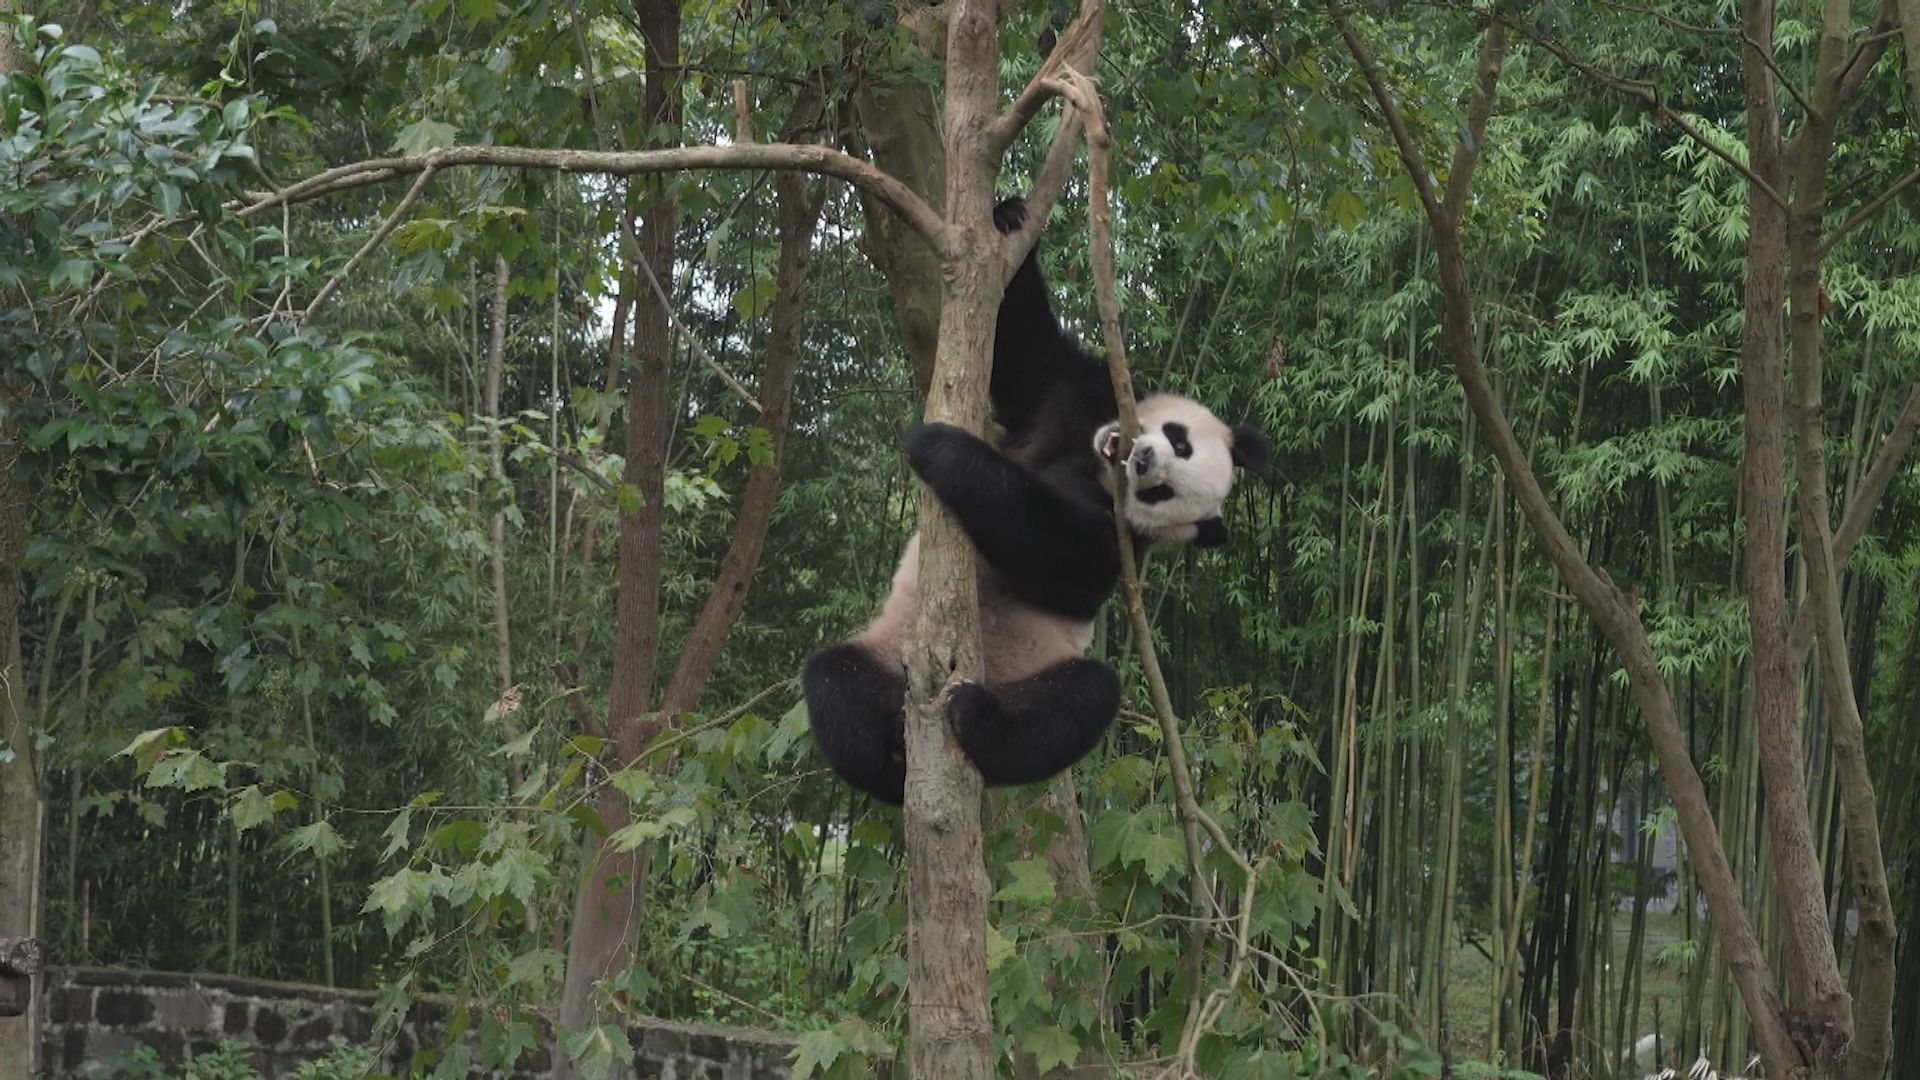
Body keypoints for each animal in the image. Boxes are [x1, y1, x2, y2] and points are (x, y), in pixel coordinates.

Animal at [802, 195, 1267, 799]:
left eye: (1162, 493)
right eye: (1179, 441)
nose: (1142, 461)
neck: (1091, 464)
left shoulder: (1118, 545)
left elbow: (1057, 555)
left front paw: (943, 449)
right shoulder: (1075, 391)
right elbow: (1022, 349)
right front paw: (1010, 218)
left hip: (1038, 669)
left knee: (1080, 701)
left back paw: (977, 724)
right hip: (889, 654)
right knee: (836, 683)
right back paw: (889, 760)